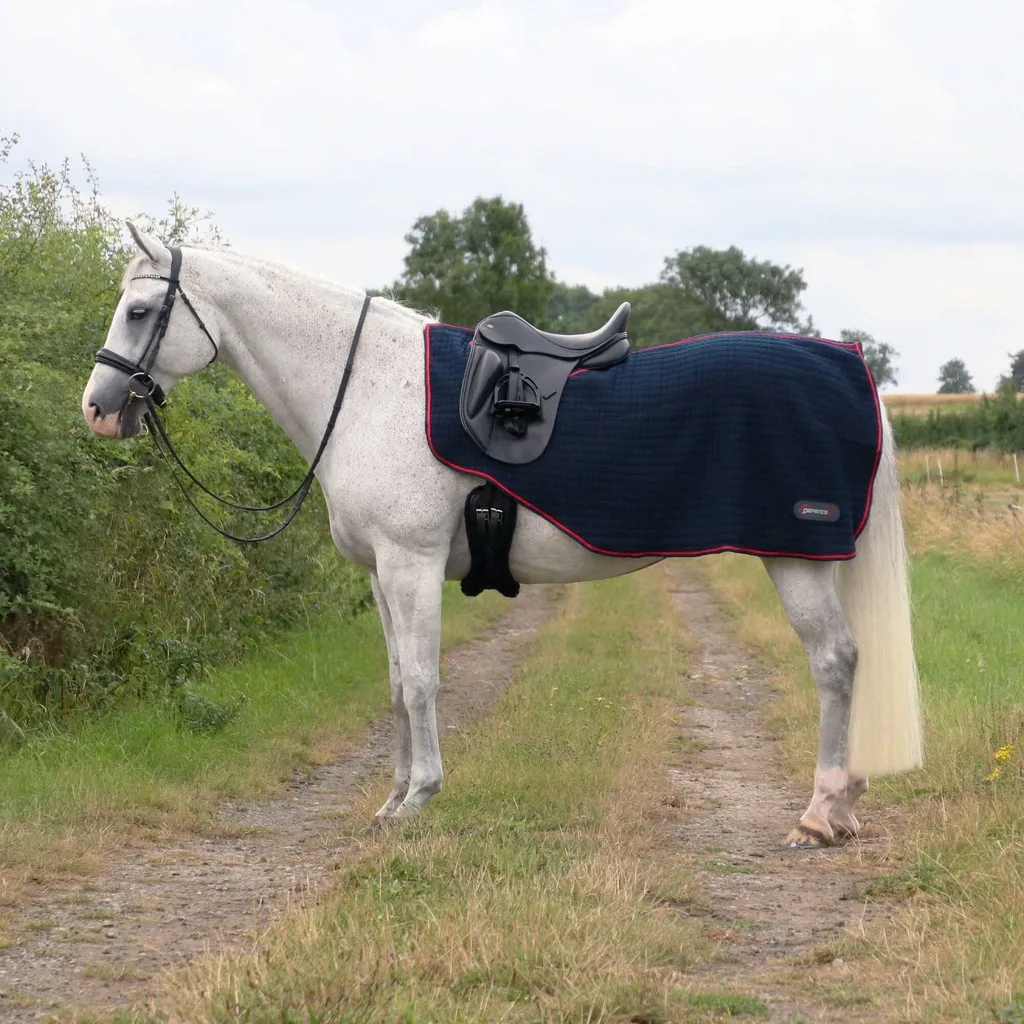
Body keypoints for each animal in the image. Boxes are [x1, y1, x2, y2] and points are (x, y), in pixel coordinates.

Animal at [81, 223, 923, 847]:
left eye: (139, 312)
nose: (97, 408)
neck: (367, 388)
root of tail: (851, 371)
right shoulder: (381, 573)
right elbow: (396, 683)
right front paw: (391, 799)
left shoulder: (413, 563)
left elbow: (424, 680)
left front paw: (420, 798)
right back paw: (843, 805)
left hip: (796, 558)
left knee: (835, 662)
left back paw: (821, 812)